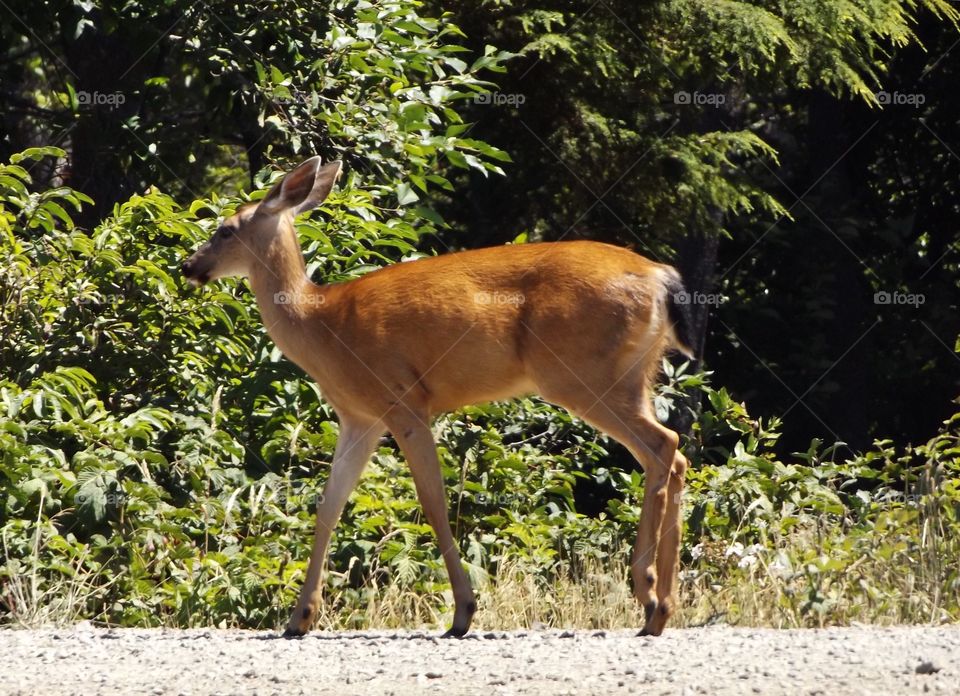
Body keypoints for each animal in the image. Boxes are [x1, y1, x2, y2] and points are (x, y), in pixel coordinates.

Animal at [181, 156, 694, 638]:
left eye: (225, 229)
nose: (188, 267)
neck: (321, 325)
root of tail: (660, 276)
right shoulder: (359, 417)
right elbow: (328, 508)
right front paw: (299, 618)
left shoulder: (403, 401)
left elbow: (433, 502)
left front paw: (464, 611)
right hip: (635, 376)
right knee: (673, 455)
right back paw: (659, 607)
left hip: (583, 375)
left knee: (663, 445)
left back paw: (649, 594)